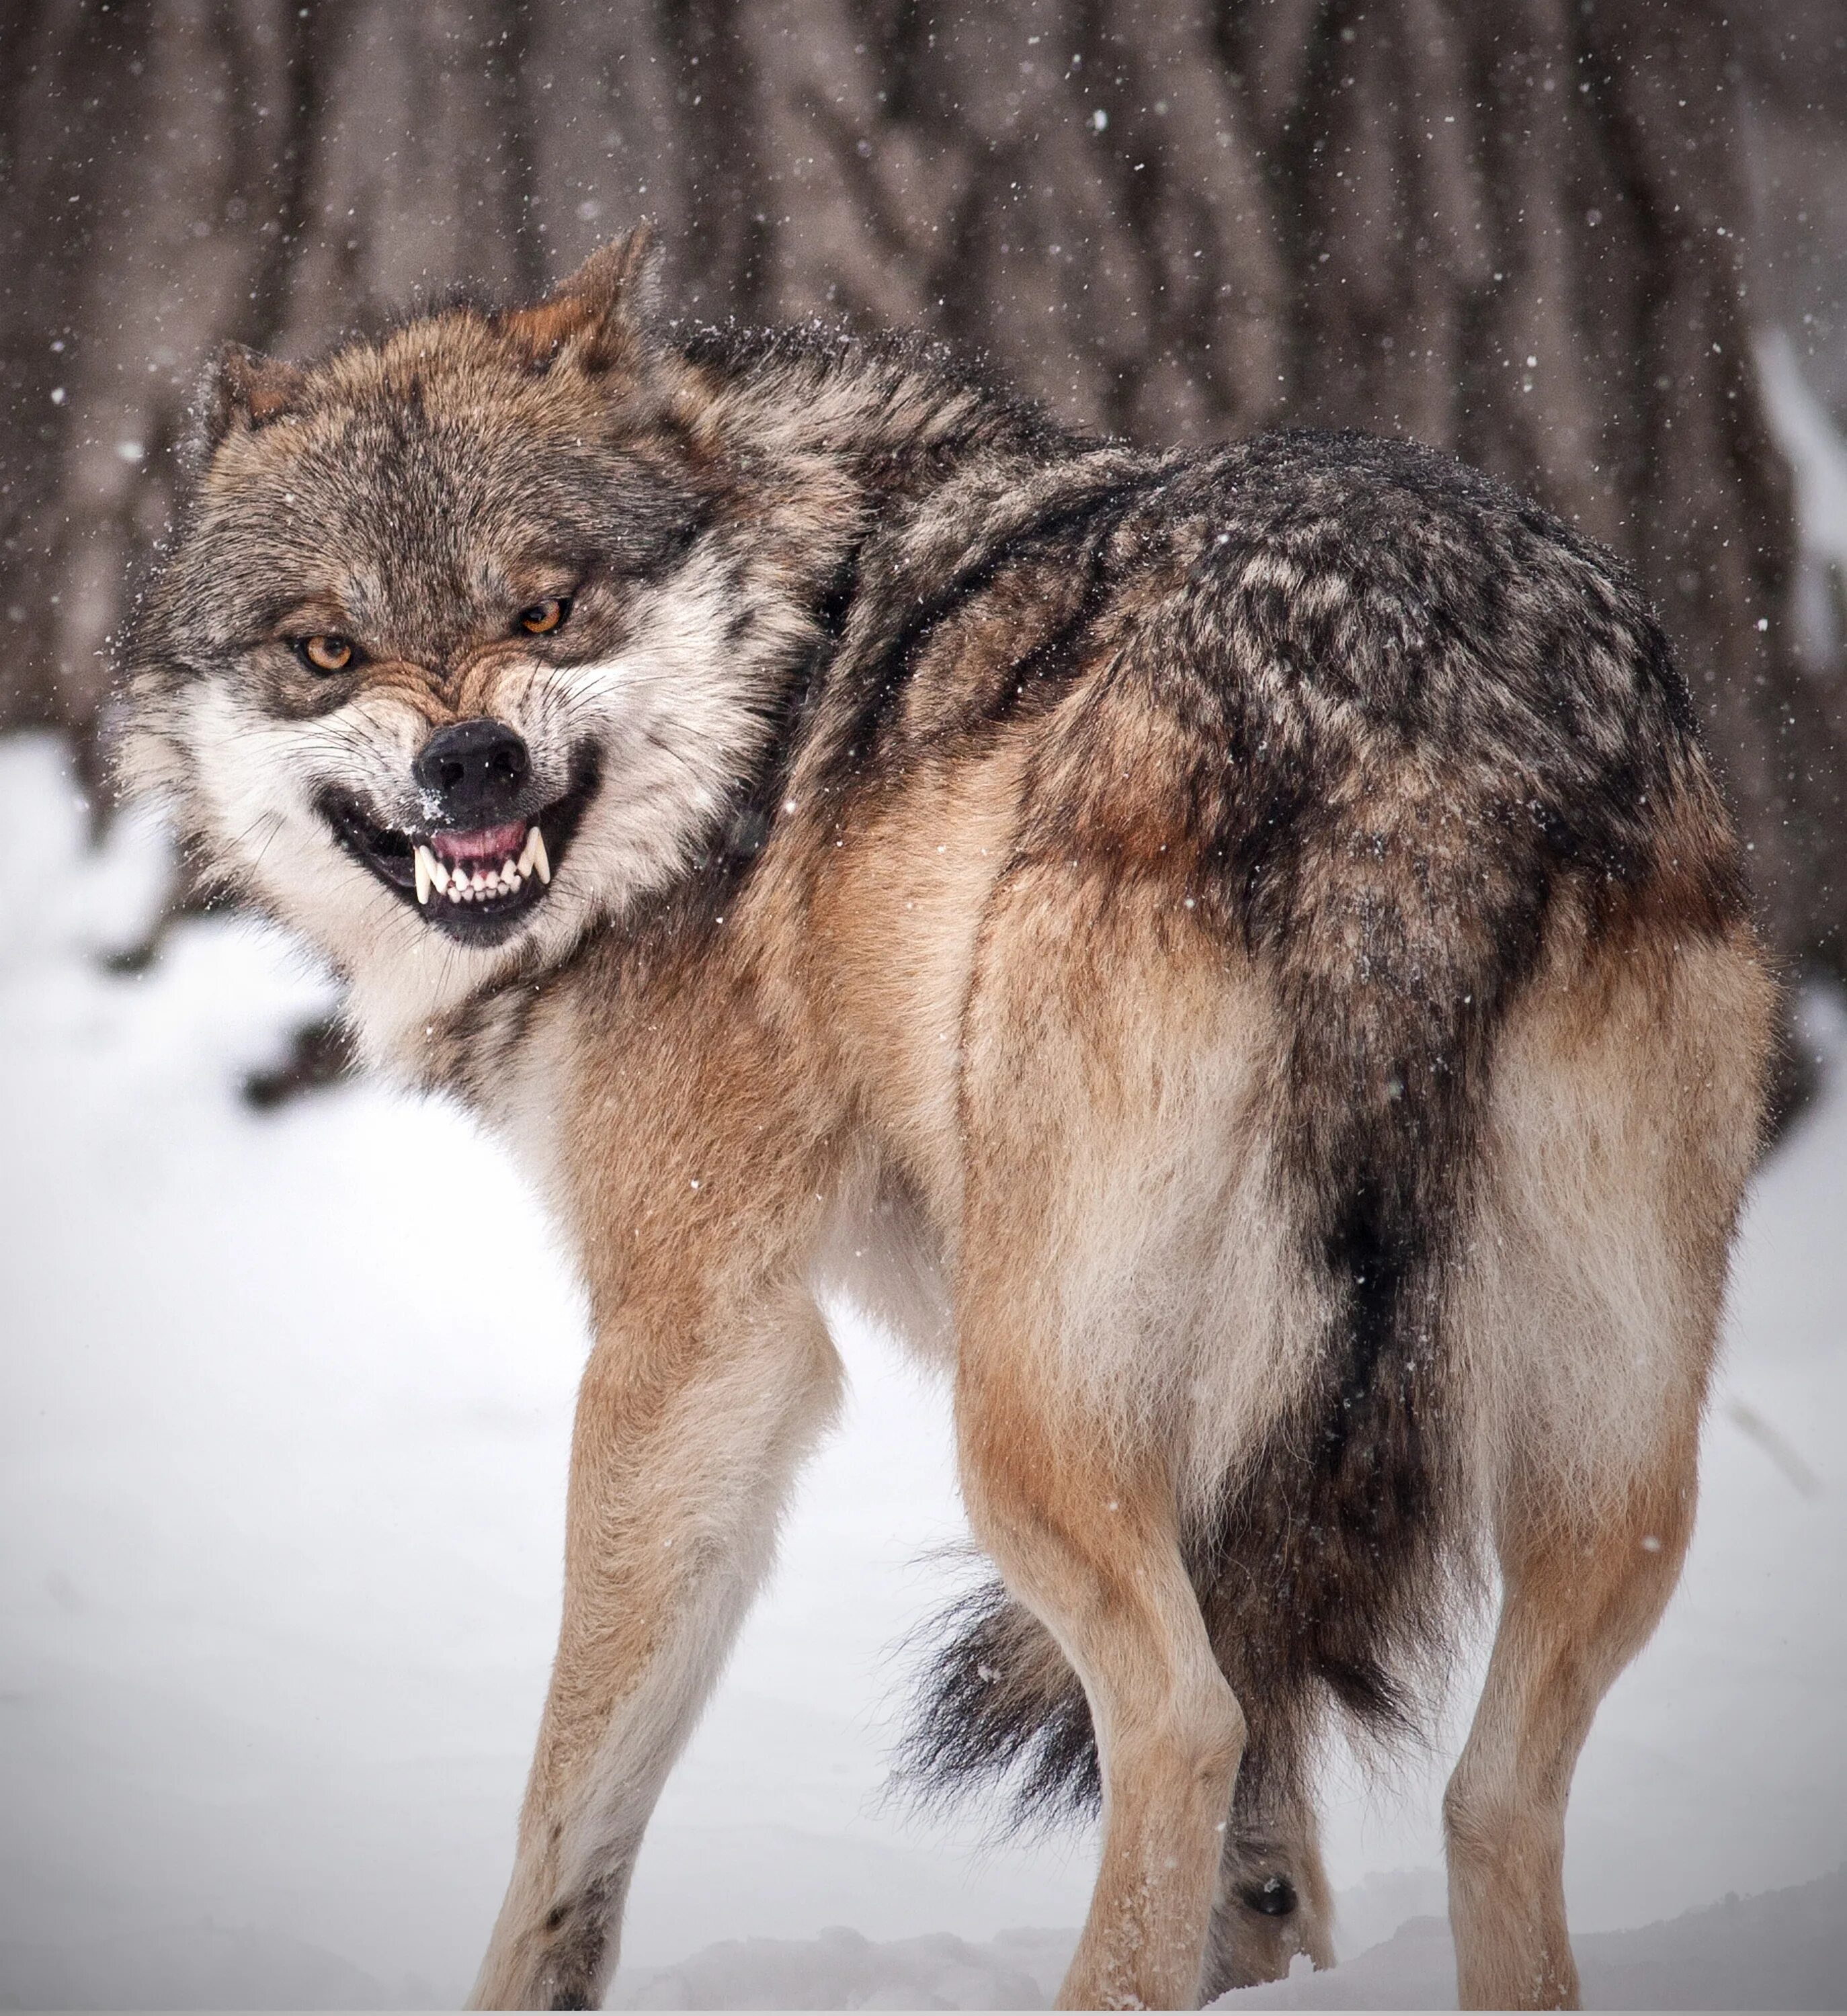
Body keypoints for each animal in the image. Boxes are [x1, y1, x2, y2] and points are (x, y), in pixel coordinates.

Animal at [119, 228, 1774, 2008]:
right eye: (327, 652)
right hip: (1602, 1475)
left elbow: (566, 1806)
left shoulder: (697, 1341)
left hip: (1026, 1427)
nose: (471, 762)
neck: (769, 685)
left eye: (542, 610)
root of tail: (1410, 709)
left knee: (1186, 1718)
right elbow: (1275, 1838)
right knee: (1485, 1784)